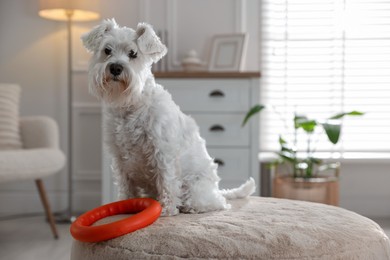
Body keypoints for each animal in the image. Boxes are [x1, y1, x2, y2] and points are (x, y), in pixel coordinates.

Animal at [81, 19, 256, 216]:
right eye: (107, 50)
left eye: (133, 53)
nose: (115, 68)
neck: (132, 105)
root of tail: (216, 189)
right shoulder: (119, 157)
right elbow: (126, 185)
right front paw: (124, 204)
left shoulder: (162, 151)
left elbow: (167, 180)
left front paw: (166, 209)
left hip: (195, 188)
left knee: (215, 203)